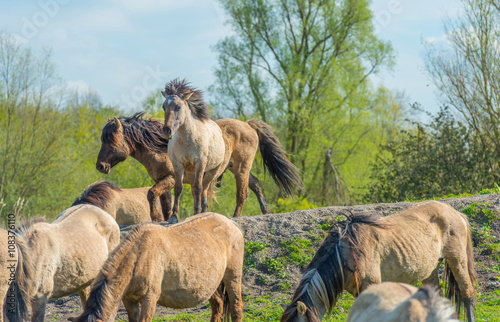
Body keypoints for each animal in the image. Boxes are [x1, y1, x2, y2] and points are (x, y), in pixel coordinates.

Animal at [68, 214, 244, 322]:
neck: (138, 256)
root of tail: (231, 224)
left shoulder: (149, 298)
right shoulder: (129, 299)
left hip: (232, 277)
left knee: (236, 307)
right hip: (211, 284)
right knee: (218, 306)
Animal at [96, 112, 300, 223]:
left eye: (111, 140)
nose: (100, 166)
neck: (161, 147)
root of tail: (248, 125)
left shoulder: (171, 178)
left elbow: (151, 193)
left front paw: (156, 218)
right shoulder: (164, 181)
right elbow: (166, 204)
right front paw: (165, 220)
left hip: (242, 169)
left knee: (242, 193)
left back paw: (235, 216)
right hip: (237, 168)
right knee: (256, 184)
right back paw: (266, 211)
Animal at [161, 79, 226, 220]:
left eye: (178, 107)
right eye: (164, 107)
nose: (166, 131)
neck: (188, 140)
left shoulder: (200, 164)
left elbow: (198, 188)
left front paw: (196, 212)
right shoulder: (178, 164)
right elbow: (178, 188)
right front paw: (174, 217)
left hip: (212, 171)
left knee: (204, 188)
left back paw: (204, 211)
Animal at [282, 201, 476, 322]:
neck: (345, 253)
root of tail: (455, 212)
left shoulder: (371, 285)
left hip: (457, 260)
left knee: (468, 295)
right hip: (431, 270)